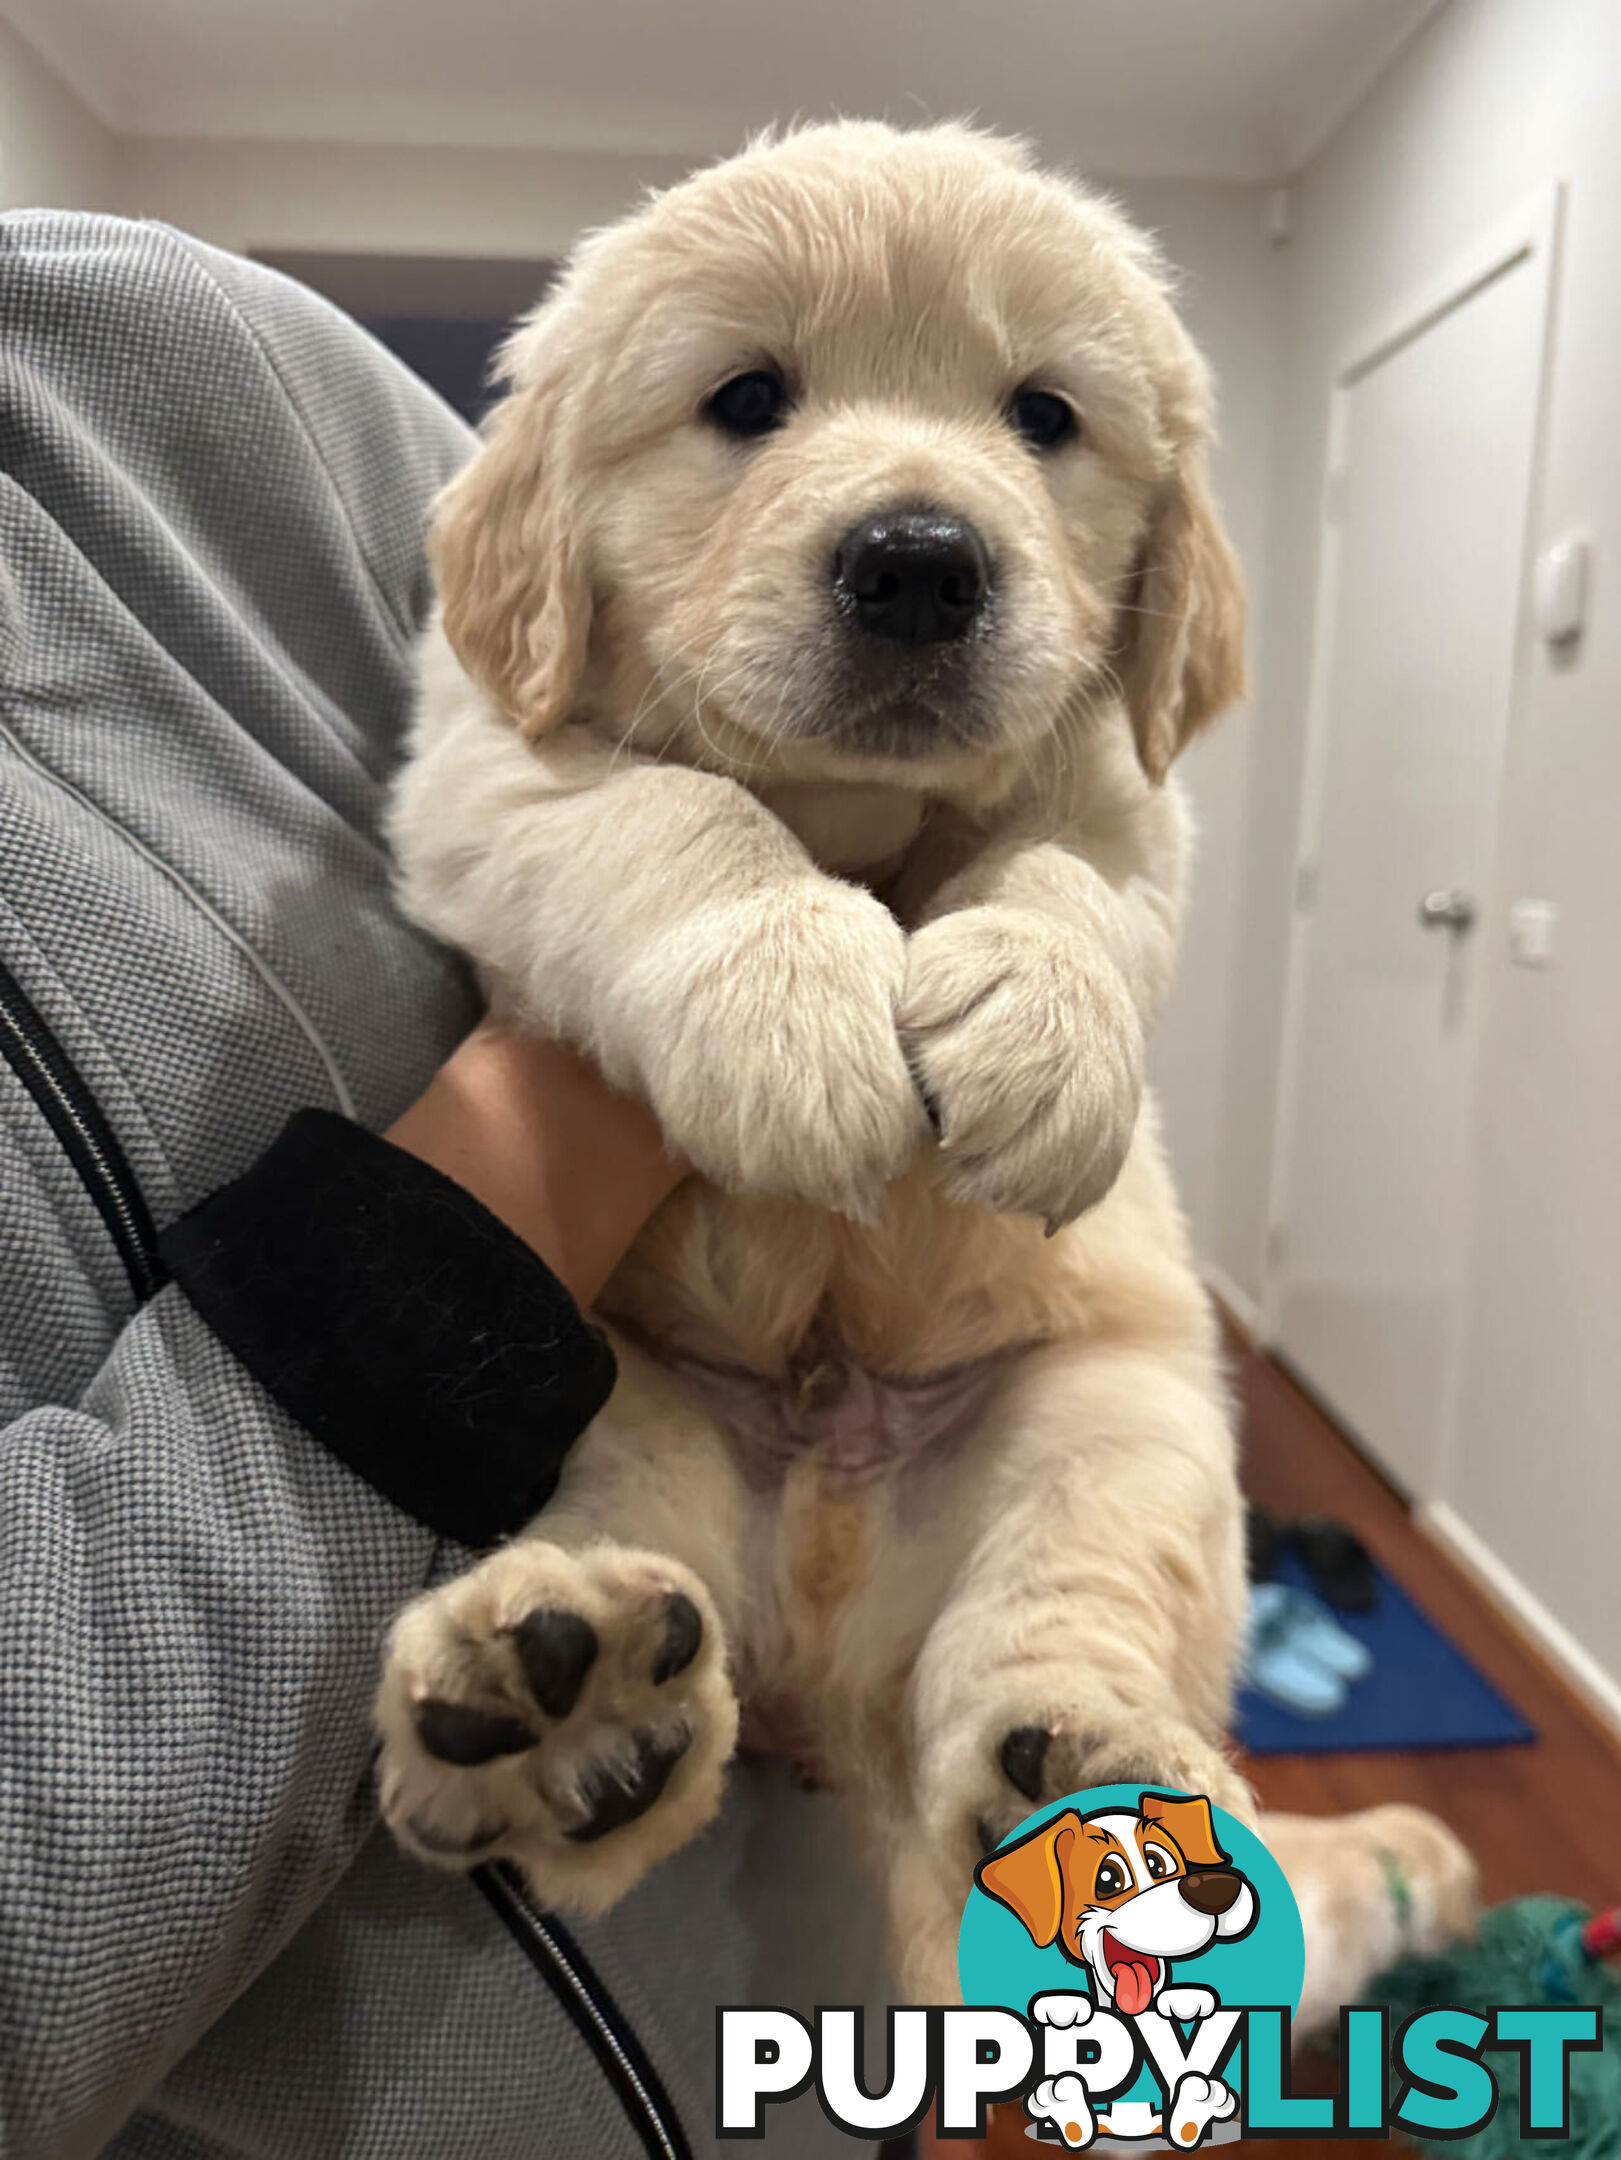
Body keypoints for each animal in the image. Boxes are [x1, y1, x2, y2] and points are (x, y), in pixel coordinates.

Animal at [371, 122, 1469, 2004]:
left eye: (1043, 416)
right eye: (746, 397)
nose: (919, 559)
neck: (861, 809)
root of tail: (831, 1667)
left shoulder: (1126, 790)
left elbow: (1058, 873)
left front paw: (1035, 1031)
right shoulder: (487, 765)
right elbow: (679, 815)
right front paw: (792, 1010)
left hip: (1120, 1427)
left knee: (1045, 1636)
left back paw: (1081, 1774)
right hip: (621, 1397)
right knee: (642, 1601)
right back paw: (566, 1698)